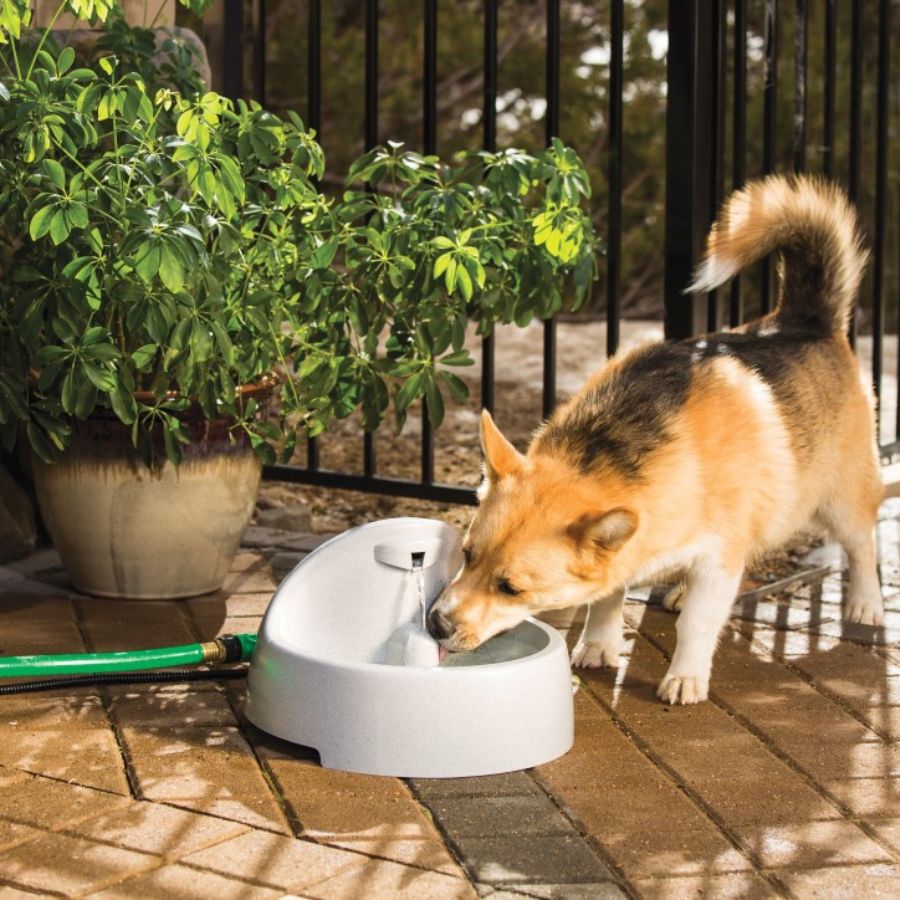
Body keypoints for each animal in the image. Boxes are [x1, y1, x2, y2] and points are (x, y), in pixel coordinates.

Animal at [426, 174, 884, 704]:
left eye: (511, 588)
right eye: (467, 555)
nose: (435, 624)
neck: (620, 446)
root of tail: (804, 319)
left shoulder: (718, 556)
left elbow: (699, 624)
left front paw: (685, 676)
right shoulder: (628, 552)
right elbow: (607, 599)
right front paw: (600, 645)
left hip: (841, 501)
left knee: (862, 547)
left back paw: (867, 605)